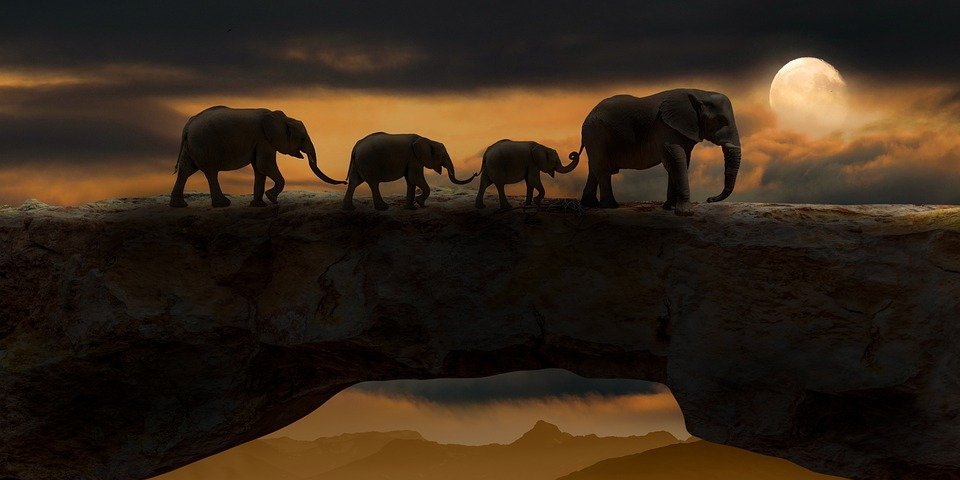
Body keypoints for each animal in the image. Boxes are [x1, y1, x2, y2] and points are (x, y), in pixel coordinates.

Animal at [169, 106, 346, 208]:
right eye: (302, 138)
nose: (345, 181)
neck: (282, 118)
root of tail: (188, 126)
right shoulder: (264, 139)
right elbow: (264, 165)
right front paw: (272, 199)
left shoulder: (261, 141)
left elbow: (260, 169)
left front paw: (259, 205)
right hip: (205, 143)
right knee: (211, 172)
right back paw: (223, 204)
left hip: (192, 146)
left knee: (186, 170)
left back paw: (179, 206)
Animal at [342, 132, 478, 210]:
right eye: (443, 156)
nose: (475, 173)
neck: (427, 140)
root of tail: (356, 147)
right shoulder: (414, 157)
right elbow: (415, 177)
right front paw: (420, 203)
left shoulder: (413, 159)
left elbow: (411, 180)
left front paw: (411, 208)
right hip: (368, 162)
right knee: (373, 183)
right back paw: (383, 208)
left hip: (358, 163)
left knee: (354, 182)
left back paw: (349, 209)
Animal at [571, 88, 742, 215]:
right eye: (720, 121)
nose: (709, 199)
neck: (701, 93)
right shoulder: (665, 127)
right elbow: (676, 161)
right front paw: (685, 213)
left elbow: (679, 163)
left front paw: (670, 208)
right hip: (596, 135)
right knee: (602, 168)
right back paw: (611, 206)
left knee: (594, 168)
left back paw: (590, 204)